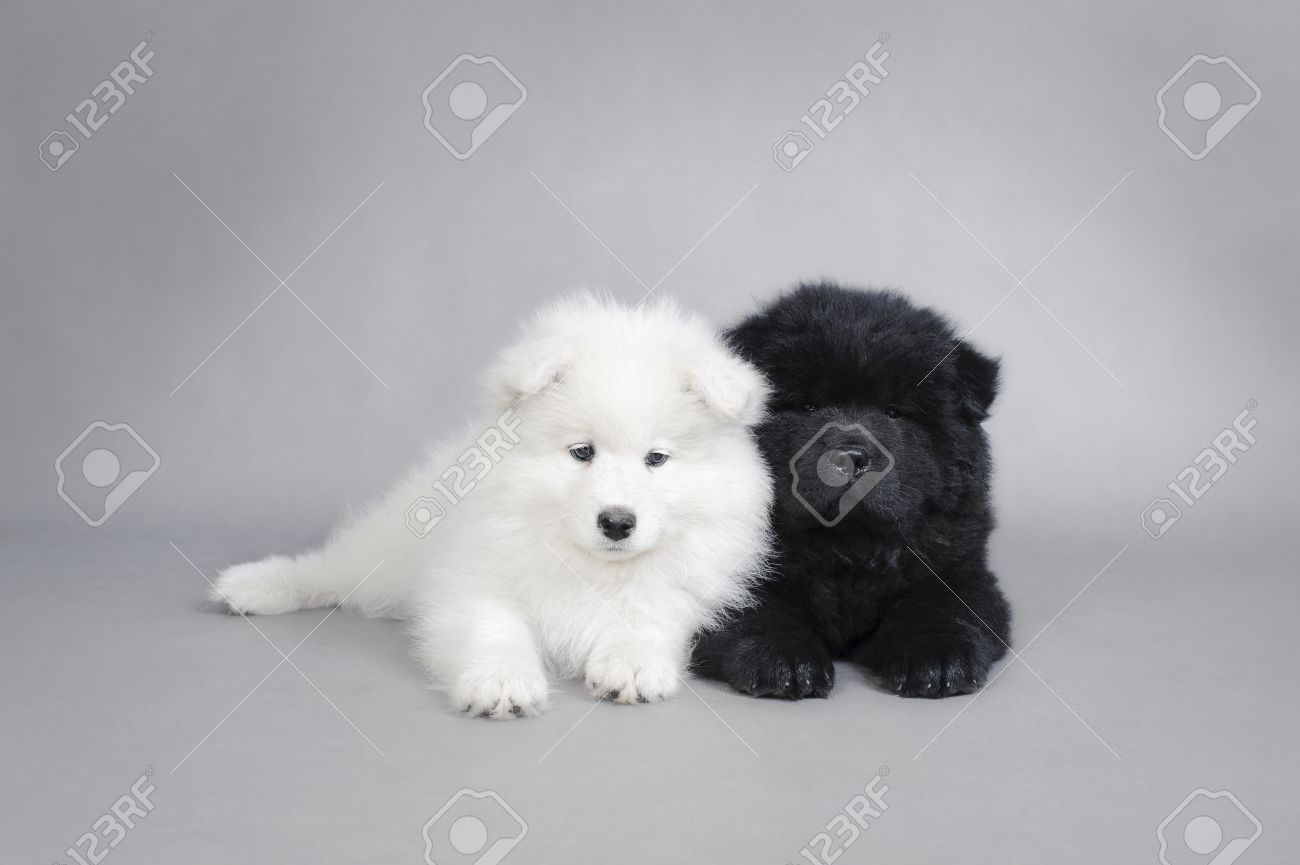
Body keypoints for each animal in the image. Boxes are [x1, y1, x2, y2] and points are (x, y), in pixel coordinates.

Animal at [213, 293, 769, 718]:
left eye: (656, 458)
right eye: (582, 452)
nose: (617, 522)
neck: (585, 563)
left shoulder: (686, 581)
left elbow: (647, 610)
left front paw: (630, 664)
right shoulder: (474, 577)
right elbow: (493, 627)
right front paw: (502, 682)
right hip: (386, 553)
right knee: (330, 570)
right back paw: (253, 585)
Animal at [696, 279, 1008, 697]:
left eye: (894, 412)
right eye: (808, 407)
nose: (851, 456)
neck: (848, 546)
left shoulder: (958, 566)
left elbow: (942, 605)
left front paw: (938, 659)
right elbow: (753, 605)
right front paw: (784, 661)